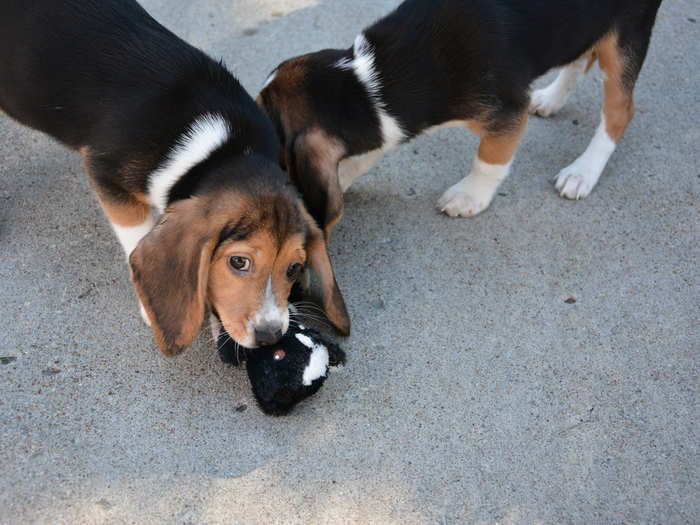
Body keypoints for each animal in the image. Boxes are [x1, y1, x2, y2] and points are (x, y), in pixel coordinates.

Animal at [0, 0, 350, 356]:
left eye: (294, 269)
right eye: (239, 262)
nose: (270, 336)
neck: (223, 152)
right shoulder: (108, 179)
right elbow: (136, 235)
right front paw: (148, 306)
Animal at [260, 0, 664, 235]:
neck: (371, 84)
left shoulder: (506, 111)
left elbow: (489, 161)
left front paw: (470, 197)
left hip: (625, 36)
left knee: (619, 111)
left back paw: (583, 171)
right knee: (581, 60)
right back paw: (550, 98)